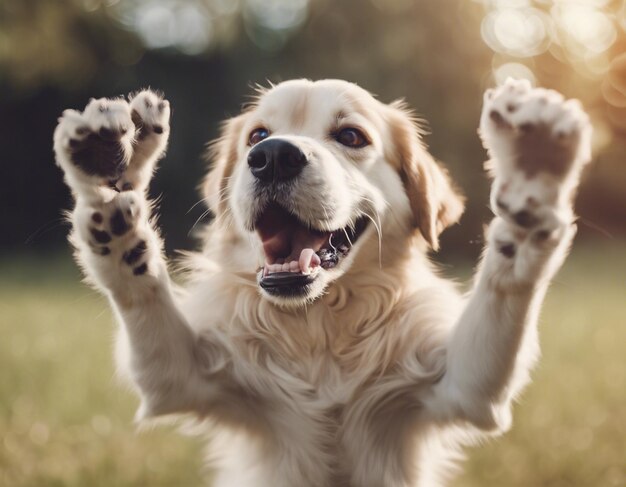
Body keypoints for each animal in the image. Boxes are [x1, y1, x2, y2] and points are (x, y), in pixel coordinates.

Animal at [52, 78, 588, 486]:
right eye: (257, 134)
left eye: (351, 136)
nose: (272, 156)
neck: (319, 328)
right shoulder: (180, 377)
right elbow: (140, 288)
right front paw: (109, 195)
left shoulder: (463, 384)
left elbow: (505, 283)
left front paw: (534, 182)